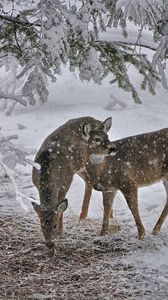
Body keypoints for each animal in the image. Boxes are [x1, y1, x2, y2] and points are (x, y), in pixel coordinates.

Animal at [32, 116, 115, 252]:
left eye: (54, 225)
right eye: (42, 225)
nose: (49, 244)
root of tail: (98, 121)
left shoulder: (66, 180)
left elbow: (60, 205)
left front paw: (60, 232)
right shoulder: (36, 183)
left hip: (92, 161)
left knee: (94, 180)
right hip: (80, 166)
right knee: (89, 181)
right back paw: (88, 216)